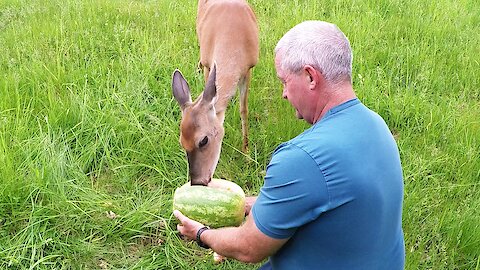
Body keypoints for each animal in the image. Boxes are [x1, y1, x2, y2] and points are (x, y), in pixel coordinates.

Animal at [172, 0, 258, 188]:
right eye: (181, 142)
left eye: (203, 140)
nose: (197, 181)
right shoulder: (208, 64)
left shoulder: (248, 69)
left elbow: (244, 110)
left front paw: (247, 155)